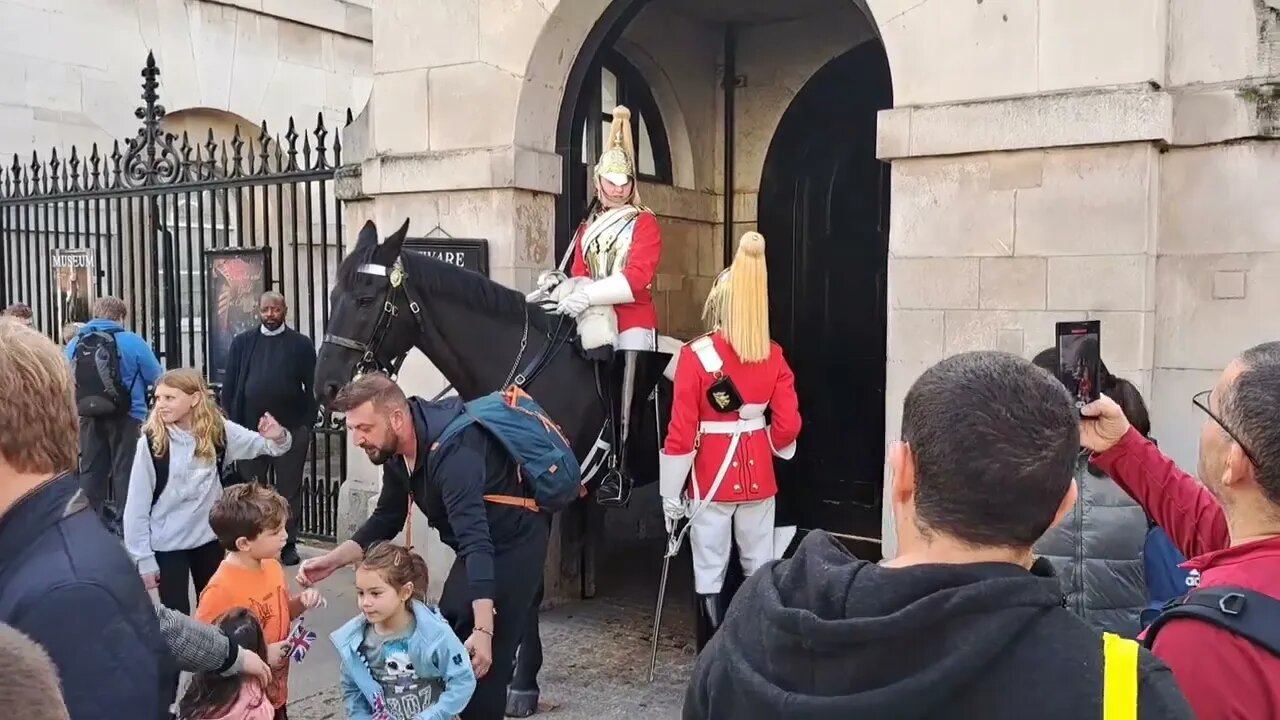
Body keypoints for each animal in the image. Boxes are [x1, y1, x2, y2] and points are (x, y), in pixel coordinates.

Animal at [312, 217, 670, 712]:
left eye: (366, 299)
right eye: (331, 295)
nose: (325, 386)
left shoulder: (538, 500)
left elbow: (528, 588)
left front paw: (521, 682)